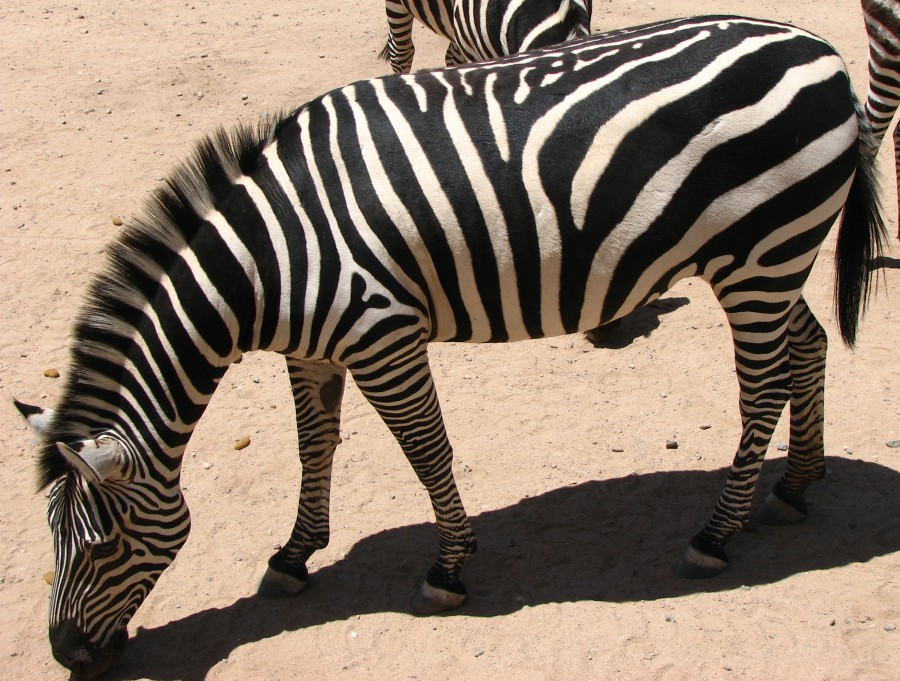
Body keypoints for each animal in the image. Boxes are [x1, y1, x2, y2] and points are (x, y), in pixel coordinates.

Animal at [14, 15, 885, 678]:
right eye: (51, 538)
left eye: (104, 542)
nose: (66, 655)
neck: (269, 262)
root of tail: (823, 51)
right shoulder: (313, 349)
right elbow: (314, 447)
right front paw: (295, 554)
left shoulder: (382, 333)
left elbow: (424, 448)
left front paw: (450, 567)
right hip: (770, 257)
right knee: (806, 347)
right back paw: (797, 485)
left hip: (761, 252)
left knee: (763, 385)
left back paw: (715, 534)